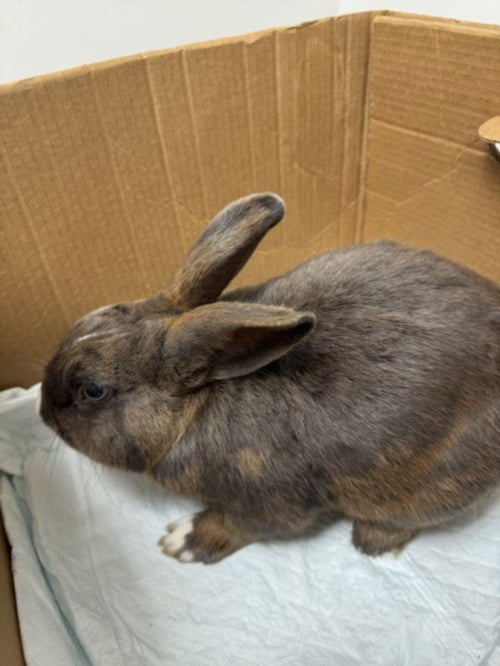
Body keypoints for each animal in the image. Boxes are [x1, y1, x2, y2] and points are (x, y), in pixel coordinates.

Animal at [40, 192, 500, 564]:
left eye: (93, 392)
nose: (43, 413)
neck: (198, 406)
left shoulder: (270, 504)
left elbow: (240, 525)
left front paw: (183, 540)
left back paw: (371, 540)